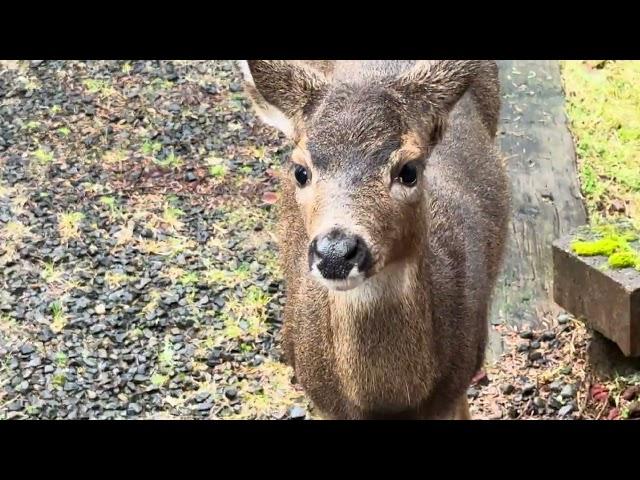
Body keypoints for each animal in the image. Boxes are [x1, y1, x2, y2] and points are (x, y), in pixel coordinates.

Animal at [238, 61, 508, 420]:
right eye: (300, 171)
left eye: (409, 170)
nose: (336, 253)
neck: (386, 404)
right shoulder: (322, 402)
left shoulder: (455, 387)